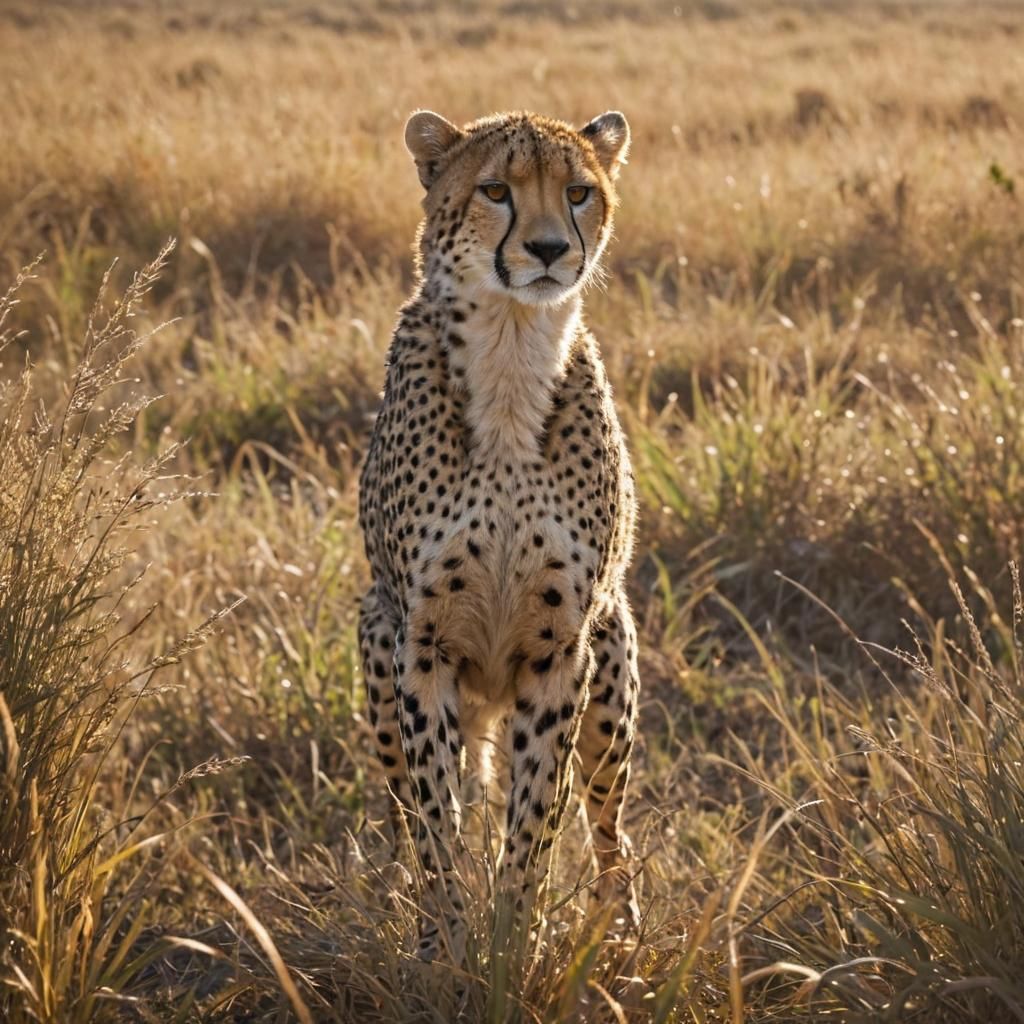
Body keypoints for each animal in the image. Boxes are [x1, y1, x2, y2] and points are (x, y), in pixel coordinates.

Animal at [357, 107, 640, 961]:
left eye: (579, 192)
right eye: (494, 190)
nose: (548, 249)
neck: (512, 352)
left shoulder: (560, 650)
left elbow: (537, 814)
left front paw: (516, 943)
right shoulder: (420, 645)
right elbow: (437, 819)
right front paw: (447, 946)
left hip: (612, 665)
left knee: (608, 824)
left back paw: (619, 934)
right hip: (374, 639)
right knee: (404, 810)